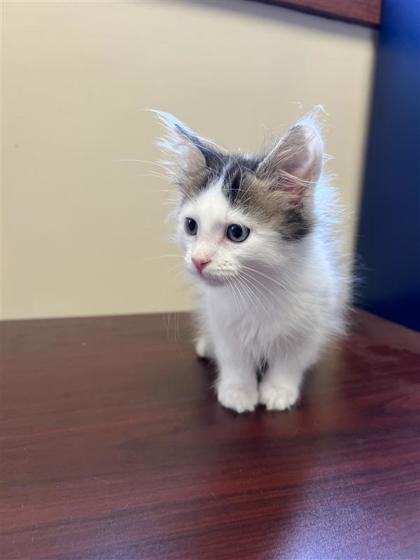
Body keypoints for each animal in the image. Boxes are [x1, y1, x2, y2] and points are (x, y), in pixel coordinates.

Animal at [157, 110, 348, 412]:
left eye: (237, 233)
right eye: (191, 226)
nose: (198, 260)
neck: (259, 285)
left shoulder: (310, 323)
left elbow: (290, 361)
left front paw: (279, 391)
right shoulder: (223, 322)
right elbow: (234, 359)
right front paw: (238, 391)